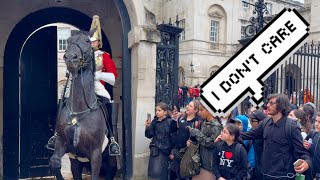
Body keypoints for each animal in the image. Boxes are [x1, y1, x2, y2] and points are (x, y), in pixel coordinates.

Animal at [48, 29, 112, 180]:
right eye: (69, 40)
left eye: (87, 41)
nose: (71, 58)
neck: (78, 109)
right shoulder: (63, 144)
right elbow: (55, 162)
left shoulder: (96, 153)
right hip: (77, 162)